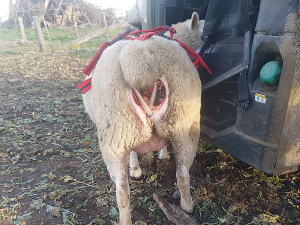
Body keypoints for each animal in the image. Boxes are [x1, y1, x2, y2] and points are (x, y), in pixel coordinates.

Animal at [82, 12, 204, 225]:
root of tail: (140, 57)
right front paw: (159, 156)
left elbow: (133, 154)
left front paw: (136, 169)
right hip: (183, 124)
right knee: (182, 173)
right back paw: (187, 206)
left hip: (115, 134)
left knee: (122, 191)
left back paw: (124, 219)